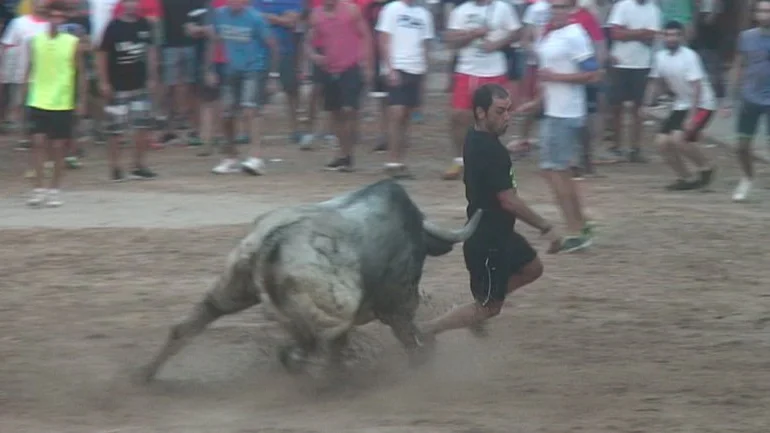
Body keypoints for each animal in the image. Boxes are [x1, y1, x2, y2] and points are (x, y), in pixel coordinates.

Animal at [135, 177, 476, 380]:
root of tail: (270, 242)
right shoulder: (398, 305)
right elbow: (410, 336)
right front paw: (422, 364)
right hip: (332, 312)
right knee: (308, 347)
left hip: (233, 286)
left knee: (190, 323)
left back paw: (146, 374)